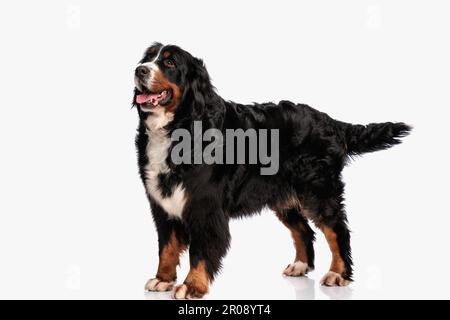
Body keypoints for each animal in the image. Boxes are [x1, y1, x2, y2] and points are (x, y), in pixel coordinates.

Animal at [133, 42, 412, 298]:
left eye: (170, 63)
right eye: (147, 57)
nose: (139, 70)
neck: (181, 126)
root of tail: (330, 122)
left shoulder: (204, 207)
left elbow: (200, 251)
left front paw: (192, 286)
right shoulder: (163, 204)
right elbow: (167, 247)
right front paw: (162, 279)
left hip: (318, 191)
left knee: (337, 229)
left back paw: (337, 274)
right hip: (284, 196)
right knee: (304, 230)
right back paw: (300, 265)